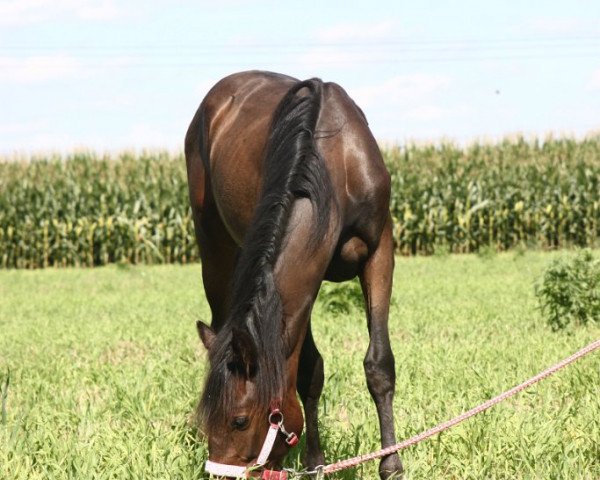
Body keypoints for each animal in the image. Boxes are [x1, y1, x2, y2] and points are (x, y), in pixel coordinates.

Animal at [183, 69, 404, 478]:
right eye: (210, 420)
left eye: (239, 421)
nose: (217, 474)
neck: (335, 163)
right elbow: (308, 373)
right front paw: (316, 464)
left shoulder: (380, 250)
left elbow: (379, 364)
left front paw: (391, 463)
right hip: (215, 253)